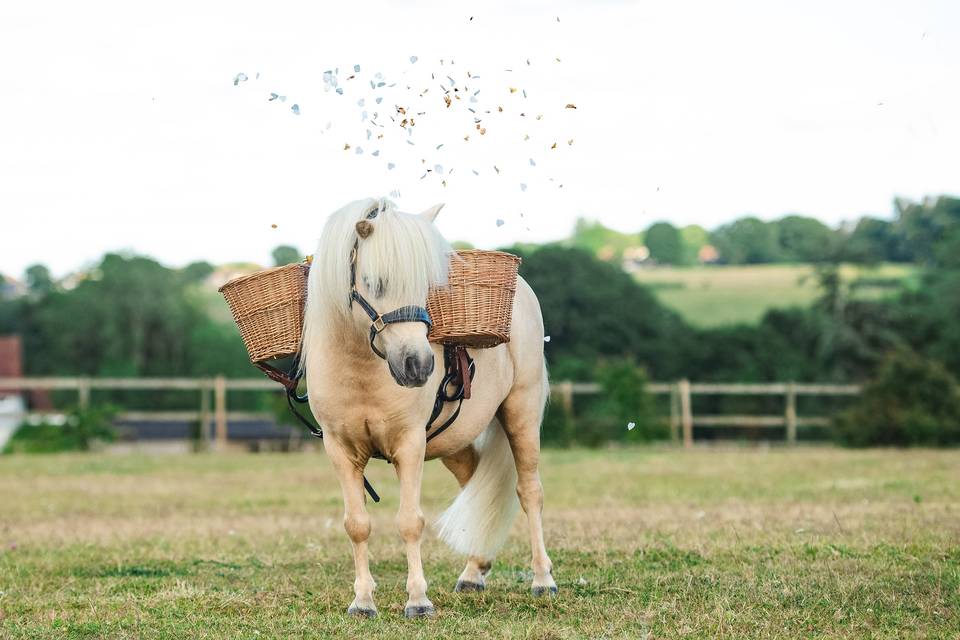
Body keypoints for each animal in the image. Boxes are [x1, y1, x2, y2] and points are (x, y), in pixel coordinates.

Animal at [298, 198, 556, 616]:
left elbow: (410, 522)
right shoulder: (340, 449)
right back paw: (474, 572)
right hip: (453, 439)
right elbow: (357, 524)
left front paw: (418, 600)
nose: (418, 365)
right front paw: (363, 601)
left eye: (425, 286)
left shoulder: (410, 444)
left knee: (529, 491)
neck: (360, 370)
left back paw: (543, 580)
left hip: (522, 412)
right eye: (375, 282)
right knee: (473, 483)